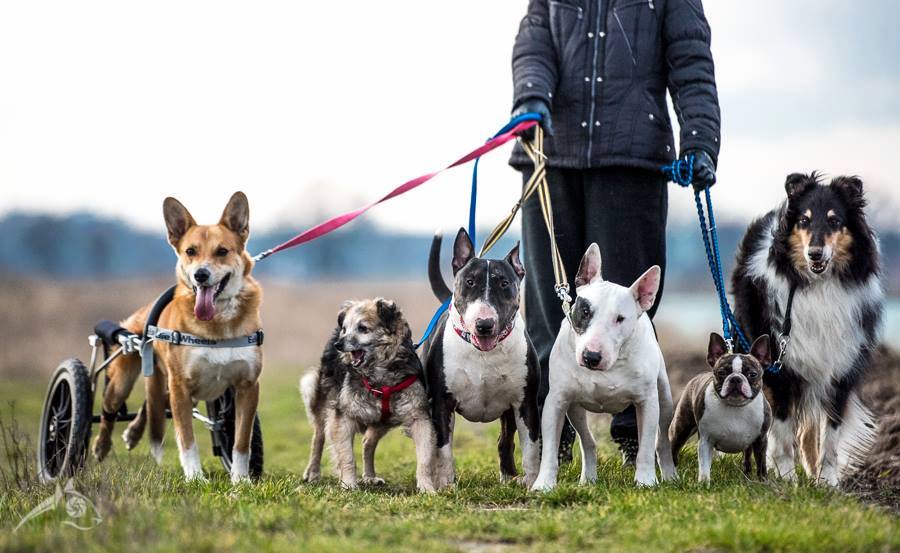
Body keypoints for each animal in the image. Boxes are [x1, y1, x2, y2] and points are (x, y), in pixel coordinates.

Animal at [92, 192, 264, 480]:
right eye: (190, 251)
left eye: (222, 251)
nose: (201, 275)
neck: (217, 323)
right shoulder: (181, 387)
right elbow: (187, 439)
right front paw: (195, 478)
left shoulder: (247, 386)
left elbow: (241, 441)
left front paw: (241, 480)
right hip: (123, 380)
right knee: (109, 411)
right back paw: (101, 446)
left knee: (153, 404)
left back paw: (133, 432)